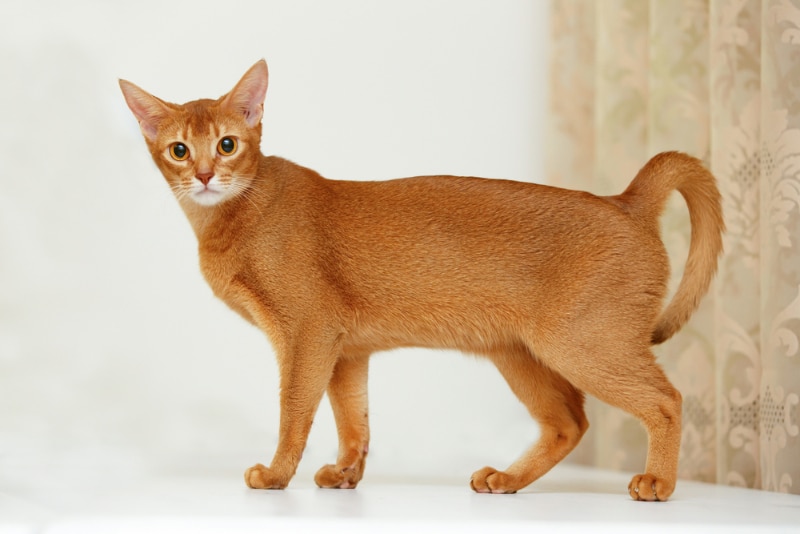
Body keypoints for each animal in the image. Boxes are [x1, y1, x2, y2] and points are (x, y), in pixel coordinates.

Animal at [119, 58, 724, 502]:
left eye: (227, 144)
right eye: (179, 150)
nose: (203, 175)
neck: (238, 215)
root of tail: (626, 201)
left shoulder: (306, 334)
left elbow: (295, 411)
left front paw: (275, 475)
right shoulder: (346, 350)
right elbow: (354, 420)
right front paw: (345, 475)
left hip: (583, 343)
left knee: (666, 400)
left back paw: (659, 482)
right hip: (521, 352)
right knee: (568, 422)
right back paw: (507, 479)